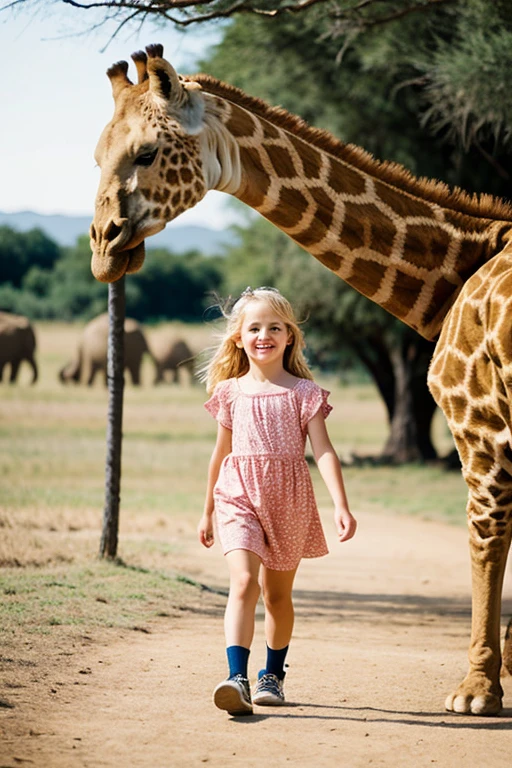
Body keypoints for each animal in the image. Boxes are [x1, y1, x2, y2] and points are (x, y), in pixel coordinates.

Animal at [90, 42, 512, 712]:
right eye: (96, 156)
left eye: (149, 152)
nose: (102, 248)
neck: (458, 270)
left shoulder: (478, 417)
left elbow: (484, 534)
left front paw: (476, 690)